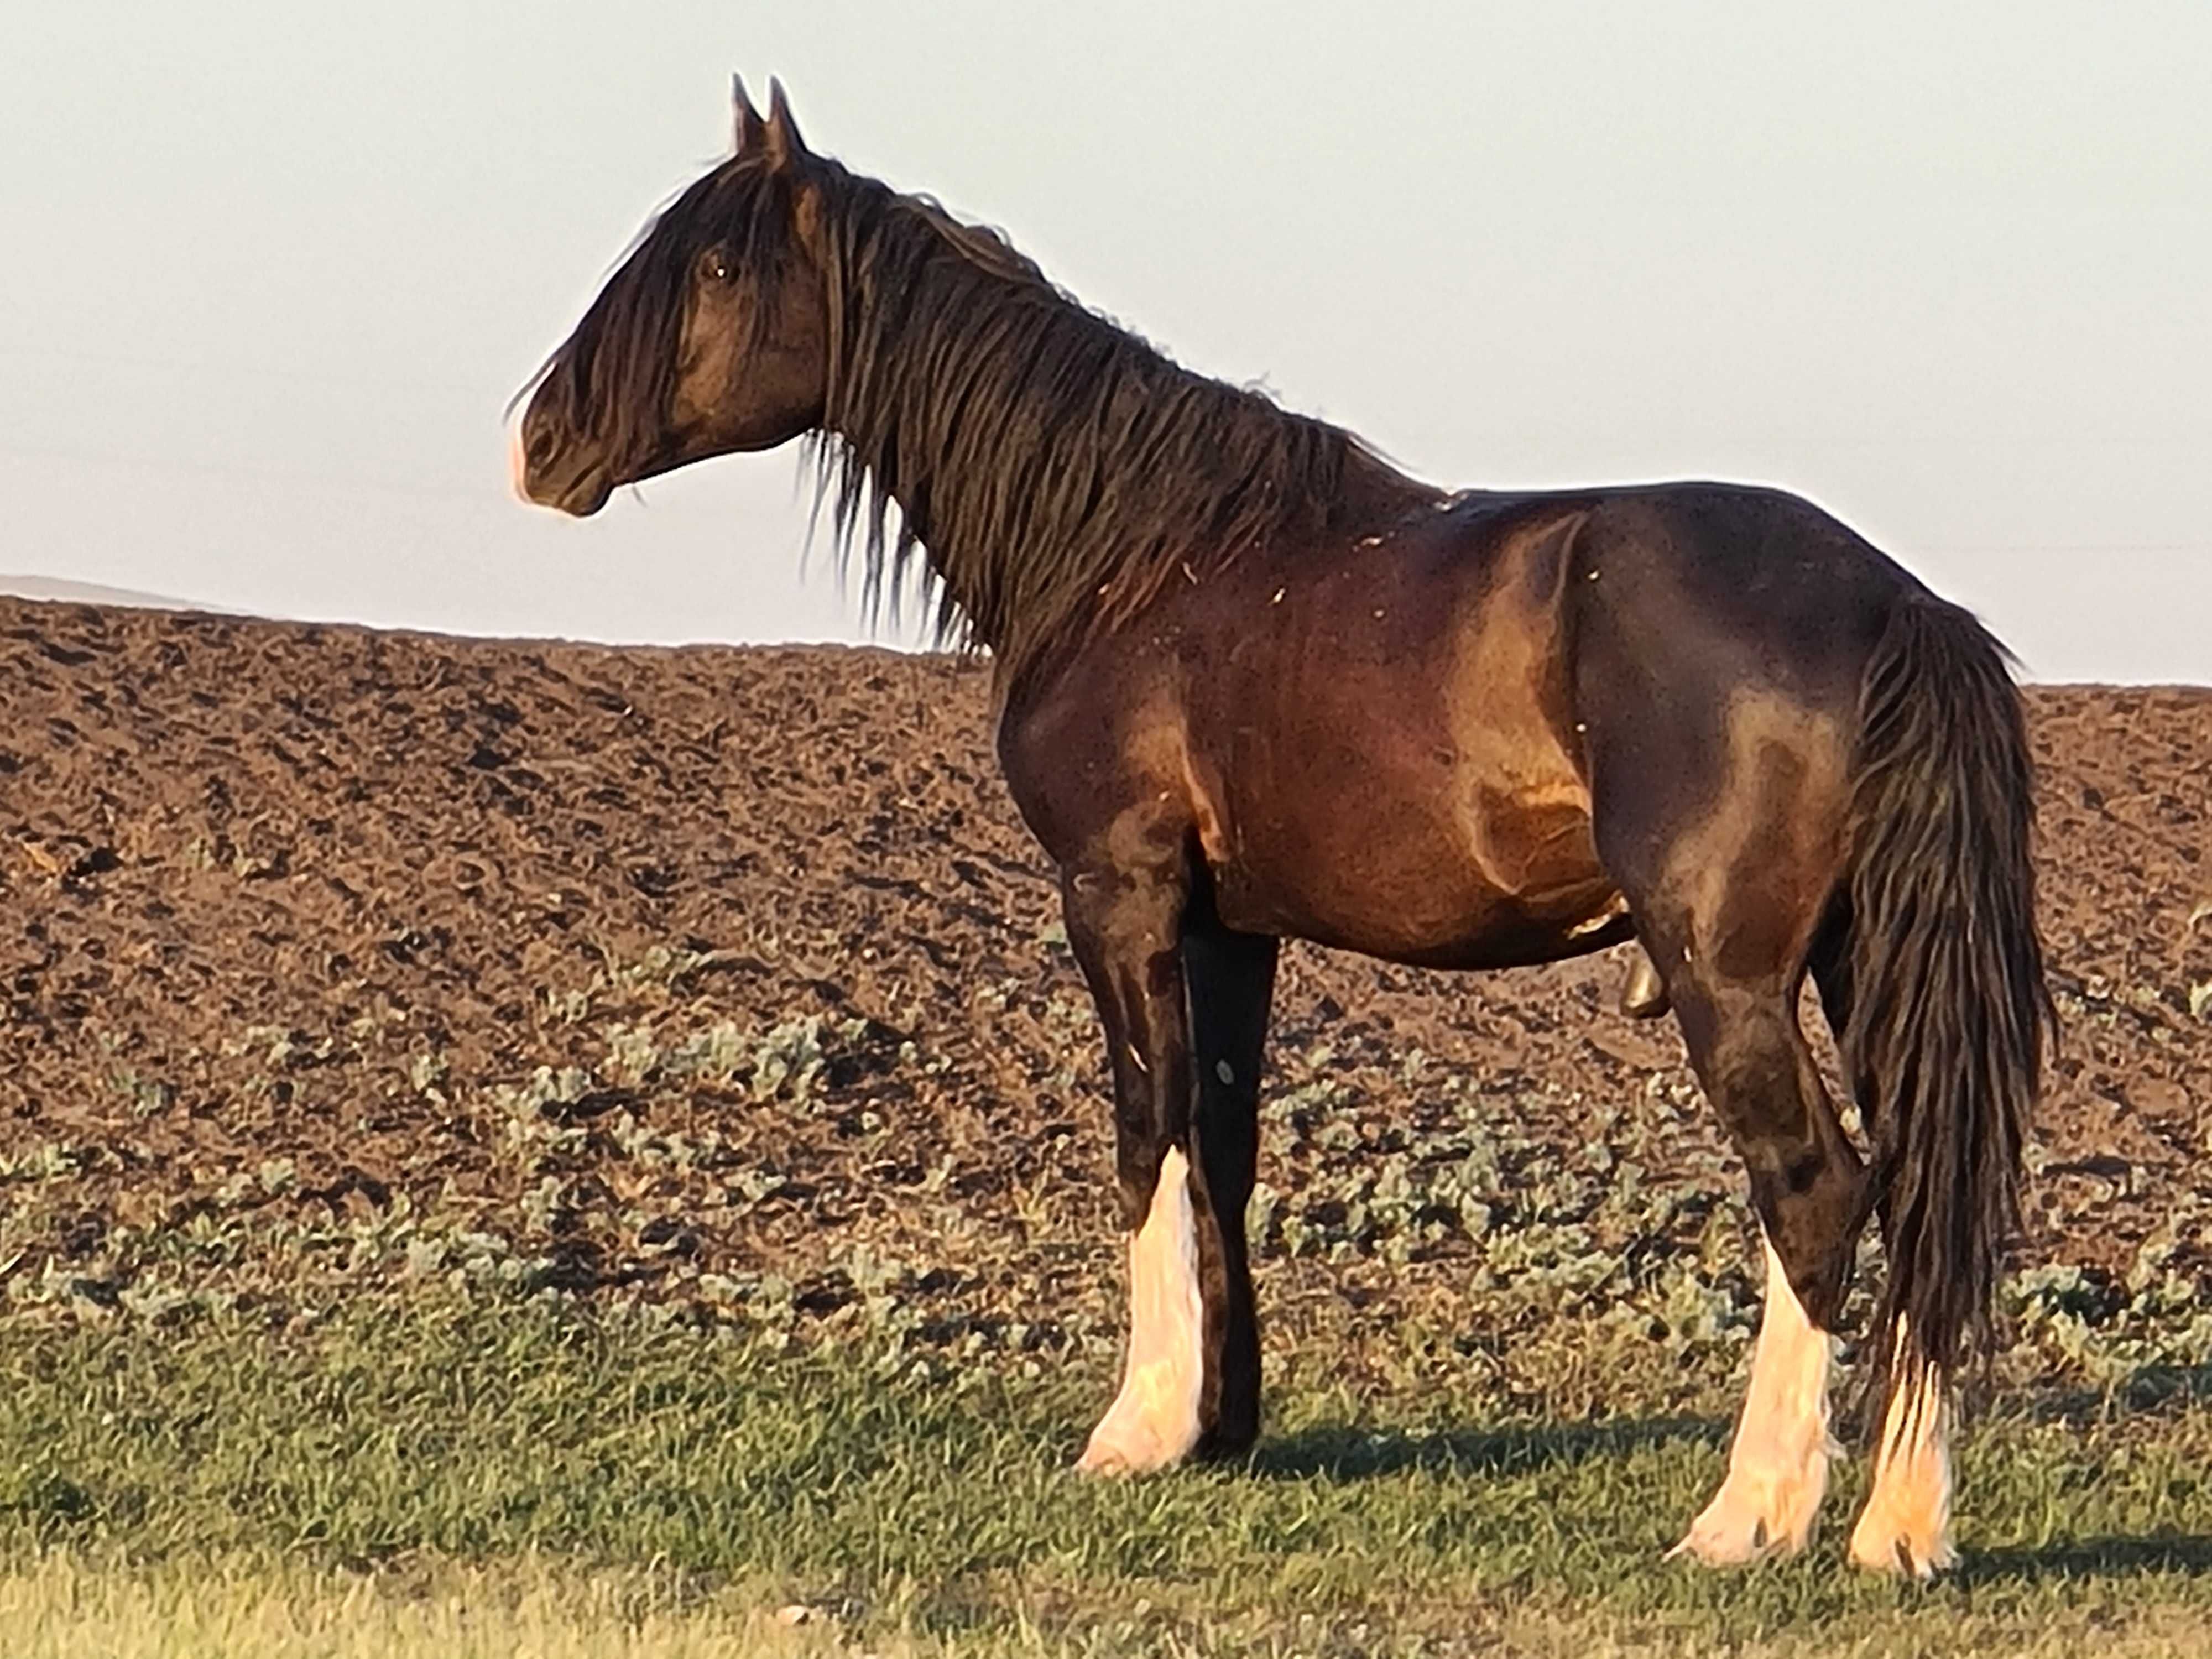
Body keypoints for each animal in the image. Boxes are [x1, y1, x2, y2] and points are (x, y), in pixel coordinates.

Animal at [509, 81, 2044, 1584]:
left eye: (715, 266)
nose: (539, 441)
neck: (1135, 556)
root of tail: (1890, 603)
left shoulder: (1117, 894)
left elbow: (1144, 1131)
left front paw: (1136, 1427)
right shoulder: (1230, 930)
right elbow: (1222, 1143)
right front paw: (1223, 1424)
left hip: (1727, 977)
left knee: (1814, 1191)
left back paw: (1752, 1515)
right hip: (1856, 962)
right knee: (1920, 1189)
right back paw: (1898, 1530)